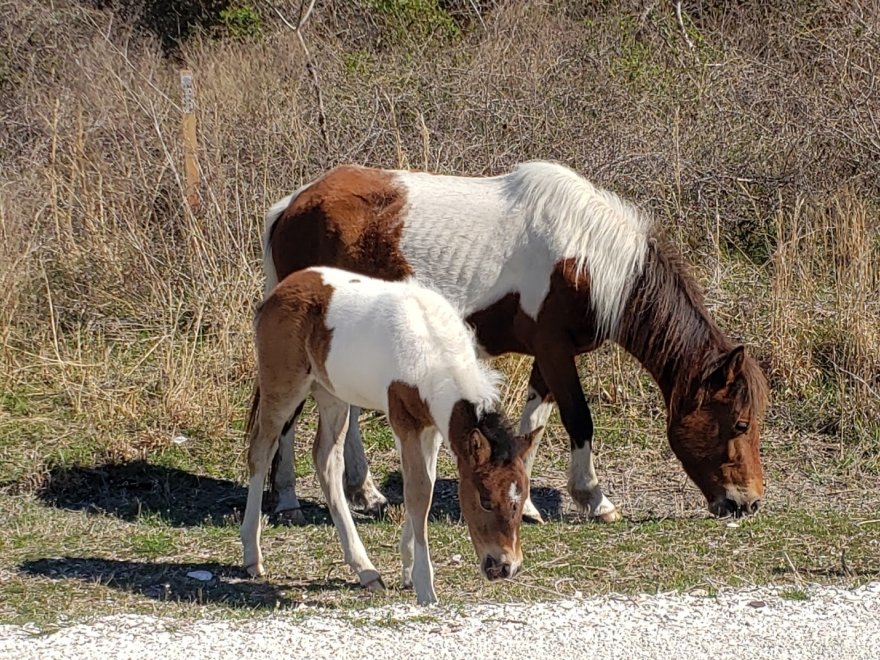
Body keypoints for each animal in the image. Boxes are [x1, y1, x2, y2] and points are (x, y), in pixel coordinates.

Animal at [239, 264, 536, 604]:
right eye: (485, 500)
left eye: (521, 497)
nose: (505, 566)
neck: (432, 347)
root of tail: (280, 290)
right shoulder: (404, 422)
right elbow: (418, 491)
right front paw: (425, 587)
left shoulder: (432, 426)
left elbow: (426, 486)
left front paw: (407, 570)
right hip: (283, 385)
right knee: (261, 450)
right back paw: (252, 556)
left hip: (332, 394)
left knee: (326, 460)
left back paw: (365, 570)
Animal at [258, 162, 768, 524]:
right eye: (740, 424)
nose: (748, 503)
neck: (585, 258)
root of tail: (291, 205)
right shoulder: (556, 350)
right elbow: (578, 419)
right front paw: (594, 499)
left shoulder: (549, 356)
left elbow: (534, 423)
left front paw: (527, 504)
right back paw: (287, 499)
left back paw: (364, 492)